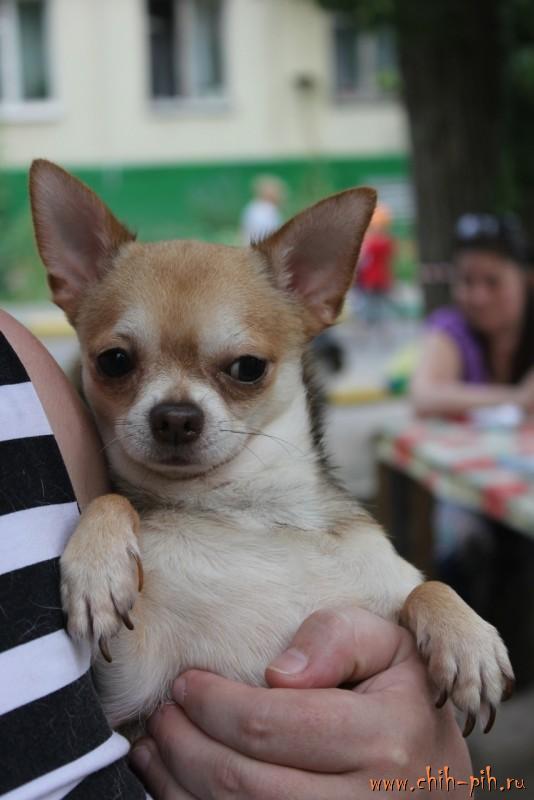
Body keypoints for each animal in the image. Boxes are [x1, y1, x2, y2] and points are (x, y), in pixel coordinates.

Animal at [29, 159, 513, 739]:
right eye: (114, 361)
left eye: (247, 368)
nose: (175, 417)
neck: (244, 508)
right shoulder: (129, 688)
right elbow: (111, 499)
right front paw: (98, 570)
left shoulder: (384, 594)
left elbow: (425, 587)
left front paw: (468, 641)